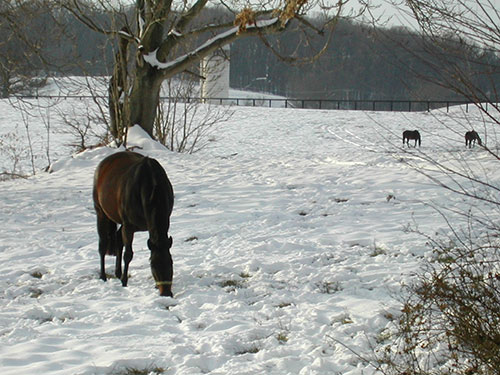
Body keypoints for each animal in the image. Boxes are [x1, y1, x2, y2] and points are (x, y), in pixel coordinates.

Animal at [93, 151, 175, 298]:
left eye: (171, 262)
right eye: (152, 265)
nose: (166, 293)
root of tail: (103, 164)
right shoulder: (129, 227)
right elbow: (128, 254)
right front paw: (124, 282)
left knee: (118, 239)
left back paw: (118, 273)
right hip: (101, 214)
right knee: (102, 245)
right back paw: (103, 276)